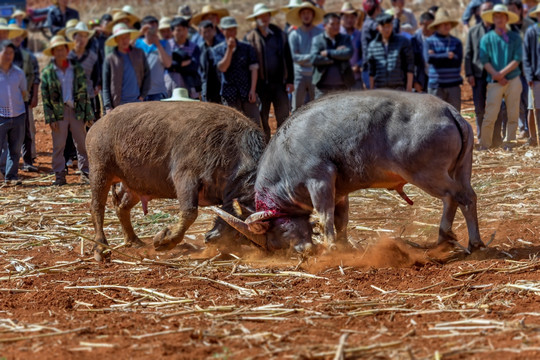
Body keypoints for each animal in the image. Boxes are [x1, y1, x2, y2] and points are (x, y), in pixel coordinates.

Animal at [86, 101, 266, 262]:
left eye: (240, 237)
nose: (210, 239)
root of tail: (97, 125)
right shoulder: (184, 177)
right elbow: (190, 212)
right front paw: (164, 240)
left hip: (134, 185)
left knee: (121, 207)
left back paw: (133, 240)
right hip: (100, 170)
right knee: (97, 207)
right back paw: (100, 247)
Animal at [215, 90, 486, 253]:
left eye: (278, 232)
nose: (303, 251)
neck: (284, 156)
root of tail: (449, 111)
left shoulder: (320, 180)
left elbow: (324, 217)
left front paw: (331, 248)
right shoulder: (340, 192)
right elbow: (341, 220)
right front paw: (344, 246)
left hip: (426, 174)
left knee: (460, 197)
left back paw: (472, 241)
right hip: (461, 169)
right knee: (458, 197)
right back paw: (443, 237)